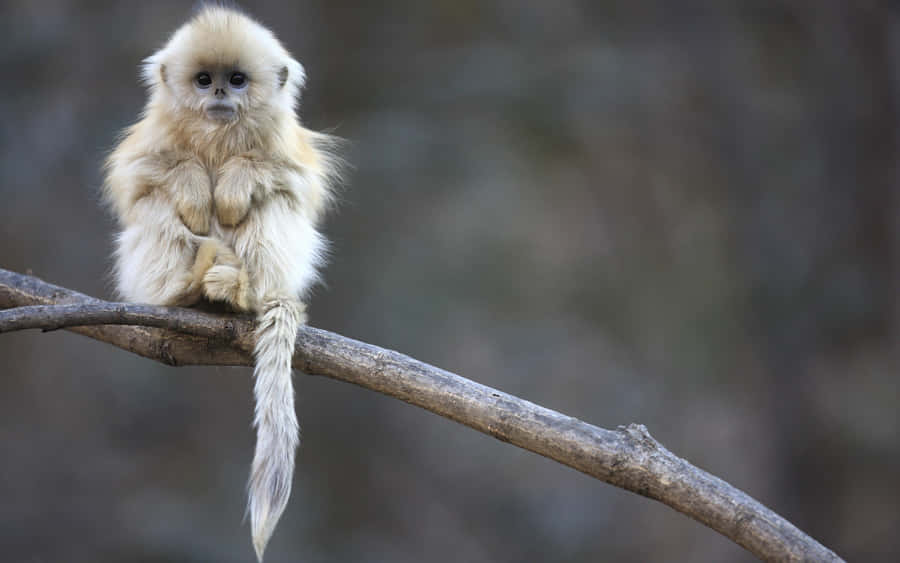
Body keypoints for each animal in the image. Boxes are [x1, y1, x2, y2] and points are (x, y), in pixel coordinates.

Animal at [103, 6, 339, 560]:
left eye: (237, 79)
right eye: (203, 80)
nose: (219, 96)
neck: (217, 135)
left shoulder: (286, 146)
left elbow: (293, 182)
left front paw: (233, 184)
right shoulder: (150, 141)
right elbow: (138, 179)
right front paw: (193, 185)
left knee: (275, 203)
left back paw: (239, 292)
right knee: (155, 204)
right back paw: (186, 289)